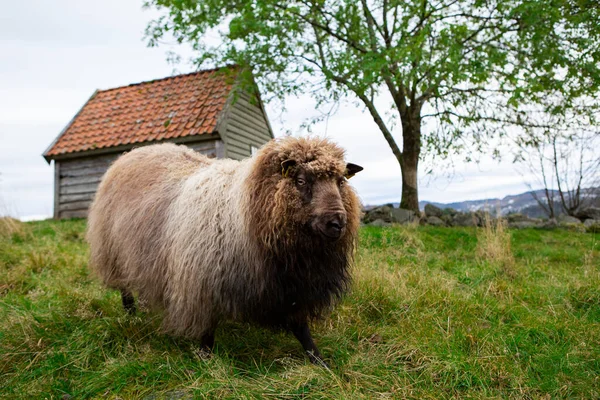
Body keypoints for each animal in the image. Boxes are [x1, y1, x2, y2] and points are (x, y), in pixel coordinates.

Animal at [86, 136, 364, 364]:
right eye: (300, 180)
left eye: (340, 181)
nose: (337, 223)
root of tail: (135, 151)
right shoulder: (203, 280)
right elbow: (207, 326)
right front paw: (205, 358)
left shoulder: (289, 285)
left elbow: (300, 327)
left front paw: (318, 360)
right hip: (113, 250)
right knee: (124, 288)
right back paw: (131, 314)